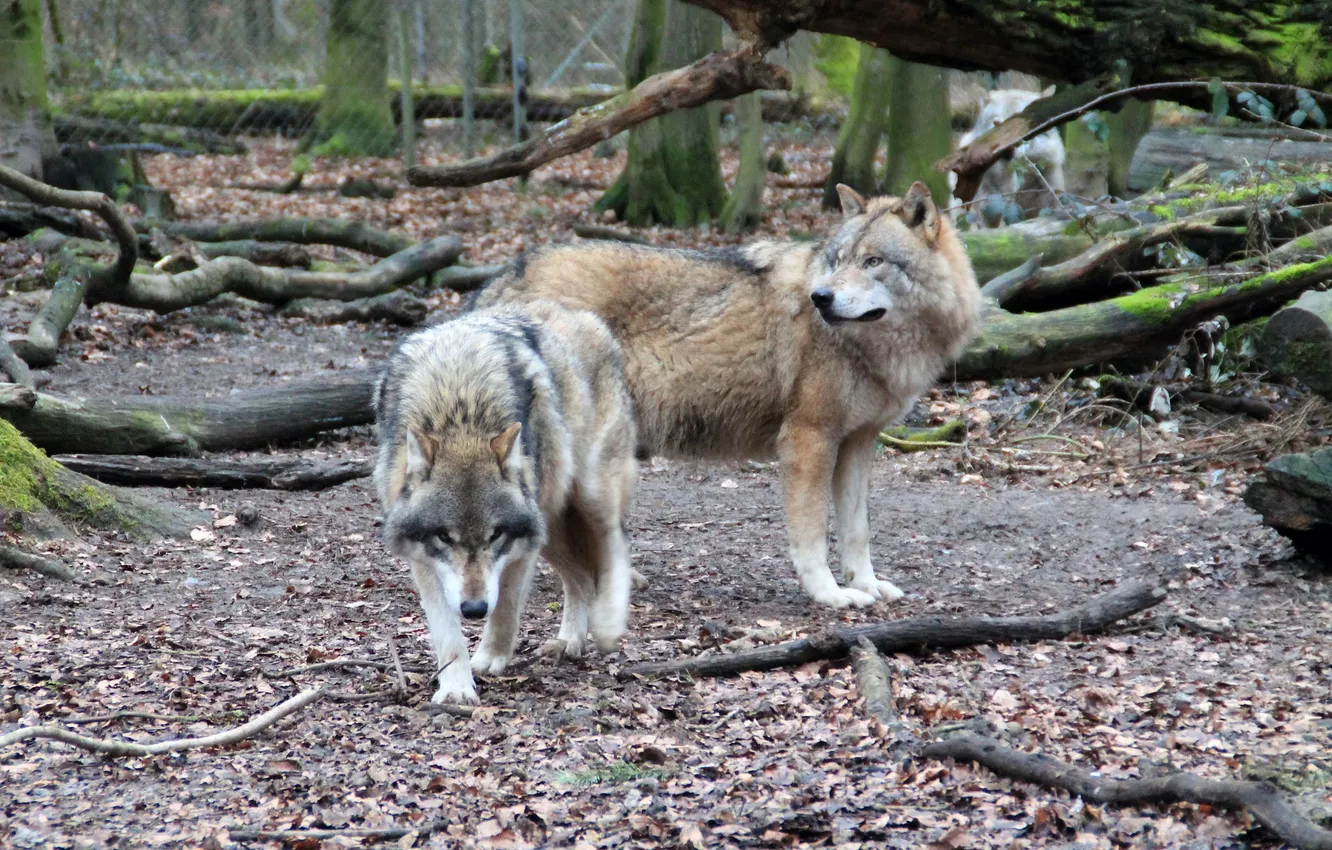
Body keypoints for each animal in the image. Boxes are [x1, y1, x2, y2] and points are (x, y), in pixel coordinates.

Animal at [374, 300, 637, 703]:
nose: (473, 609)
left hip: (586, 498)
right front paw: (456, 687)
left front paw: (491, 656)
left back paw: (607, 623)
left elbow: (507, 607)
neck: (460, 407)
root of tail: (583, 314)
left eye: (495, 535)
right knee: (581, 577)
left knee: (613, 547)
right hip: (549, 527)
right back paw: (569, 640)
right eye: (444, 537)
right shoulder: (424, 559)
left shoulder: (519, 549)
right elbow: (446, 631)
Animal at [472, 182, 982, 609]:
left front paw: (868, 586)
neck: (871, 350)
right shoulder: (808, 440)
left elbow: (857, 532)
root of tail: (502, 278)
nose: (820, 297)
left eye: (873, 261)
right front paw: (830, 594)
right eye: (838, 261)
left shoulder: (858, 442)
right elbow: (812, 534)